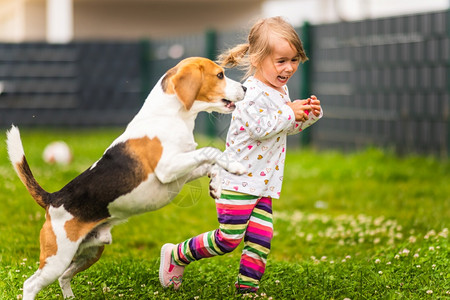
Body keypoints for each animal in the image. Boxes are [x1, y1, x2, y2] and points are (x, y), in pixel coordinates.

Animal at [7, 56, 246, 300]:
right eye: (220, 75)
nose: (245, 88)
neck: (170, 115)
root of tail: (53, 198)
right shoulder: (167, 168)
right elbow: (211, 151)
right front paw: (235, 166)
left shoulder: (180, 172)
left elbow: (209, 164)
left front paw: (216, 185)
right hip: (57, 258)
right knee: (31, 284)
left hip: (91, 251)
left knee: (64, 277)